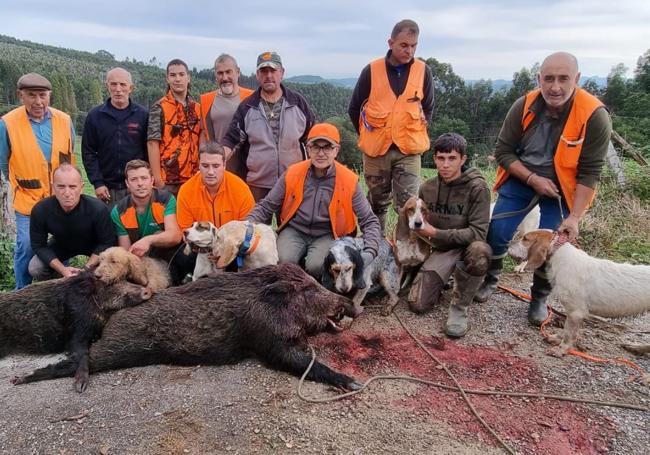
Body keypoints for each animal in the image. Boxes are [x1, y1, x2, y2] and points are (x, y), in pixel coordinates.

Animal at [506, 230, 648, 358]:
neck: (561, 256)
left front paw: (561, 350)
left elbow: (569, 333)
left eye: (525, 238)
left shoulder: (576, 313)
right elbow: (565, 330)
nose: (508, 243)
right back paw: (636, 348)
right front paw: (557, 339)